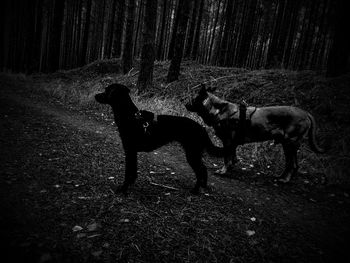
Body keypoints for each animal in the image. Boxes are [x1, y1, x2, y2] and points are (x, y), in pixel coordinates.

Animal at [94, 83, 223, 195]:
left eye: (106, 90)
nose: (95, 95)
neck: (130, 116)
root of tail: (202, 128)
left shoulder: (130, 150)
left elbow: (128, 172)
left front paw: (123, 188)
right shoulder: (132, 152)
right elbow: (133, 172)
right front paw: (129, 185)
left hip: (192, 153)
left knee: (201, 170)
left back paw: (196, 190)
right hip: (194, 153)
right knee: (203, 169)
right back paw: (203, 186)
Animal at [185, 85, 324, 184]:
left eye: (193, 98)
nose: (185, 104)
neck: (219, 110)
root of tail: (306, 113)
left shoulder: (228, 141)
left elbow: (227, 159)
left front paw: (223, 171)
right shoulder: (233, 143)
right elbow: (233, 158)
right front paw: (230, 167)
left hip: (290, 143)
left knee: (293, 165)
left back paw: (284, 180)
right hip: (288, 145)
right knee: (290, 164)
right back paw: (280, 176)